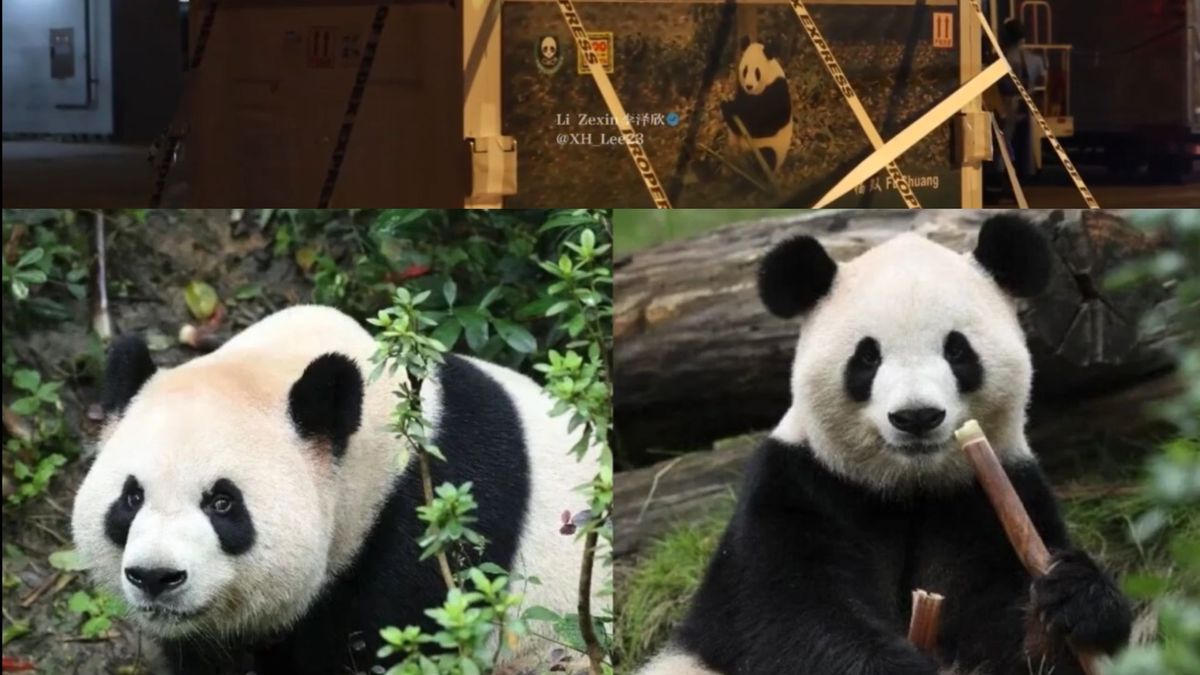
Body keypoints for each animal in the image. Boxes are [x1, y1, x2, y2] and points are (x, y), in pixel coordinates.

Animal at [638, 215, 1133, 675]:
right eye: (867, 356)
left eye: (957, 350)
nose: (917, 417)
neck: (907, 487)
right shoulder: (797, 488)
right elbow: (788, 620)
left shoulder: (992, 497)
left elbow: (1009, 640)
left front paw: (1077, 597)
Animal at [719, 36, 794, 174]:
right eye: (745, 70)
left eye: (757, 72)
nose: (749, 86)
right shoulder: (743, 93)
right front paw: (727, 105)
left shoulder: (776, 90)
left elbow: (763, 124)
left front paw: (730, 108)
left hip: (770, 149)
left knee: (767, 155)